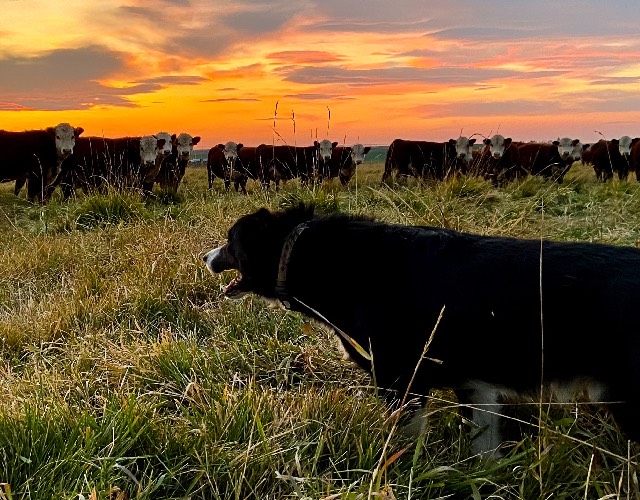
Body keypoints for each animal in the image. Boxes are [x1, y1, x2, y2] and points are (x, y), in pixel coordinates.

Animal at [202, 204, 640, 458]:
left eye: (230, 241)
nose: (205, 257)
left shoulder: (401, 379)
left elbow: (403, 441)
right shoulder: (475, 386)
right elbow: (483, 449)